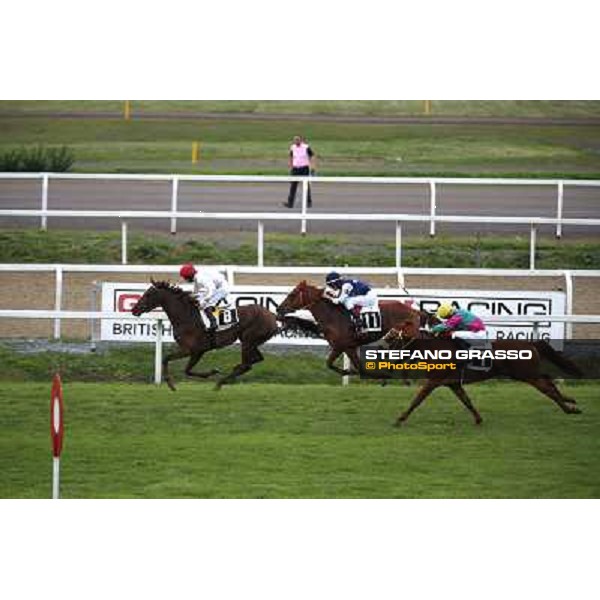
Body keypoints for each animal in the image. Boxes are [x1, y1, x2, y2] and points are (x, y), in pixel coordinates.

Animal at [131, 280, 278, 390]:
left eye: (148, 294)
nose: (134, 309)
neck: (187, 318)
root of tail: (272, 315)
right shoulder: (196, 351)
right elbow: (178, 365)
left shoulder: (192, 350)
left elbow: (174, 363)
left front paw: (171, 384)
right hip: (251, 342)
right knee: (255, 360)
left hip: (248, 341)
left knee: (247, 364)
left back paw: (220, 382)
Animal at [276, 280, 420, 376]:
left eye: (292, 294)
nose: (279, 309)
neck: (332, 316)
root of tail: (414, 311)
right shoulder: (348, 346)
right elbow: (333, 364)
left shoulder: (342, 346)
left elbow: (350, 367)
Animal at [380, 328, 580, 426]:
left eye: (391, 340)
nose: (384, 357)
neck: (436, 348)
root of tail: (530, 343)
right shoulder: (453, 384)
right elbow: (467, 401)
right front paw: (478, 419)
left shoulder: (434, 381)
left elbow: (417, 399)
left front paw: (399, 419)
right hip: (527, 373)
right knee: (548, 380)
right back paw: (570, 401)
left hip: (526, 374)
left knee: (547, 387)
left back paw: (569, 408)